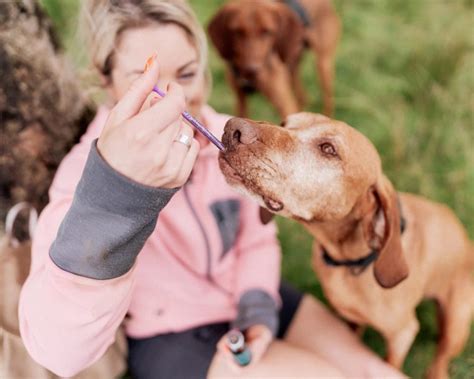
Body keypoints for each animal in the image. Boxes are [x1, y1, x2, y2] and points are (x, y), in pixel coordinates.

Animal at [209, 0, 338, 119]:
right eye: (237, 31)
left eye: (267, 31)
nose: (251, 71)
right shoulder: (240, 100)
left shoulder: (285, 105)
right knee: (302, 97)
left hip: (323, 65)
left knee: (327, 100)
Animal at [219, 113, 474, 379]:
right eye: (284, 123)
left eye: (328, 149)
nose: (231, 128)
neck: (349, 262)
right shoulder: (350, 320)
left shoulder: (402, 334)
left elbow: (389, 363)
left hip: (456, 323)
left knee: (442, 356)